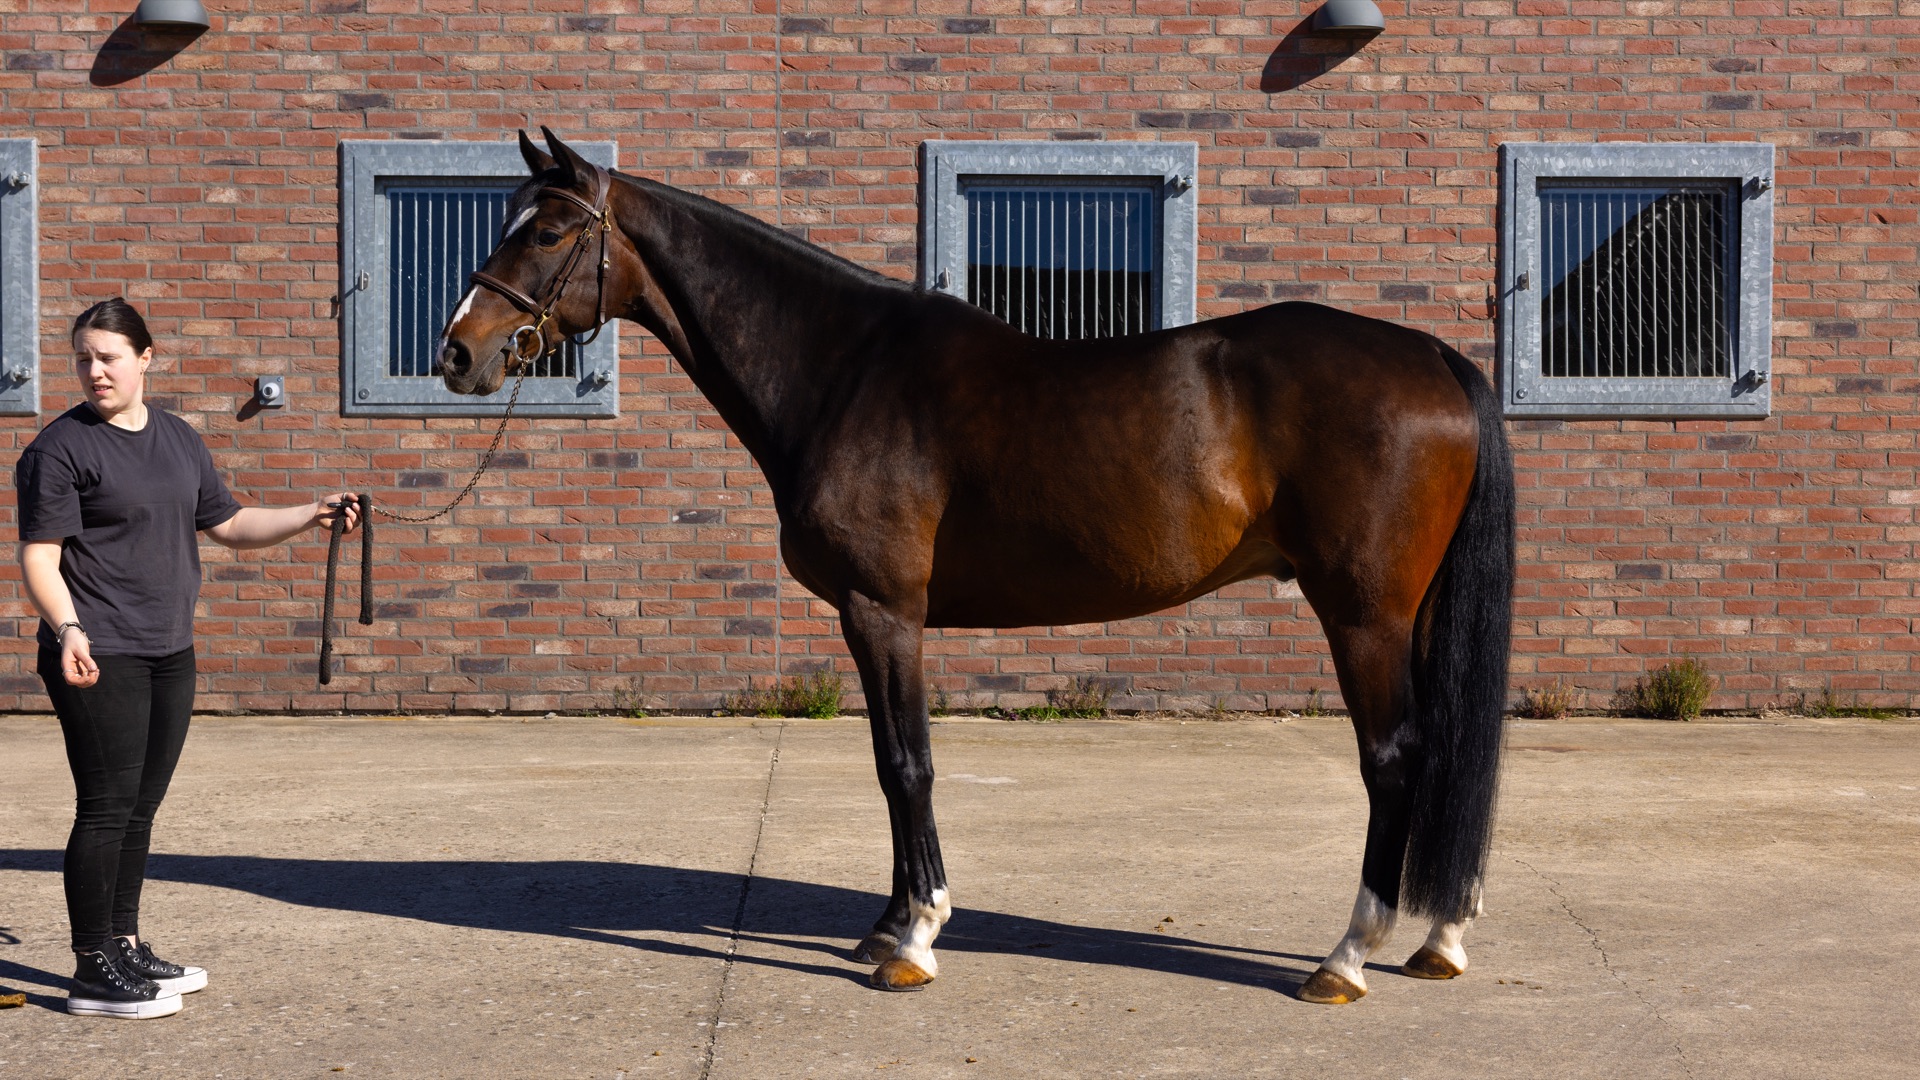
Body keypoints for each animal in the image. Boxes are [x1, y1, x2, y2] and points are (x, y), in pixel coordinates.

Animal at [435, 128, 1515, 1004]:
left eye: (545, 233)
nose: (457, 354)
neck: (843, 372)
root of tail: (1432, 357)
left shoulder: (883, 610)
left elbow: (908, 763)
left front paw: (915, 940)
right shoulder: (869, 618)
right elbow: (886, 763)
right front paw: (885, 926)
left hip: (1364, 613)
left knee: (1395, 756)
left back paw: (1347, 958)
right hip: (1411, 613)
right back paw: (1439, 940)